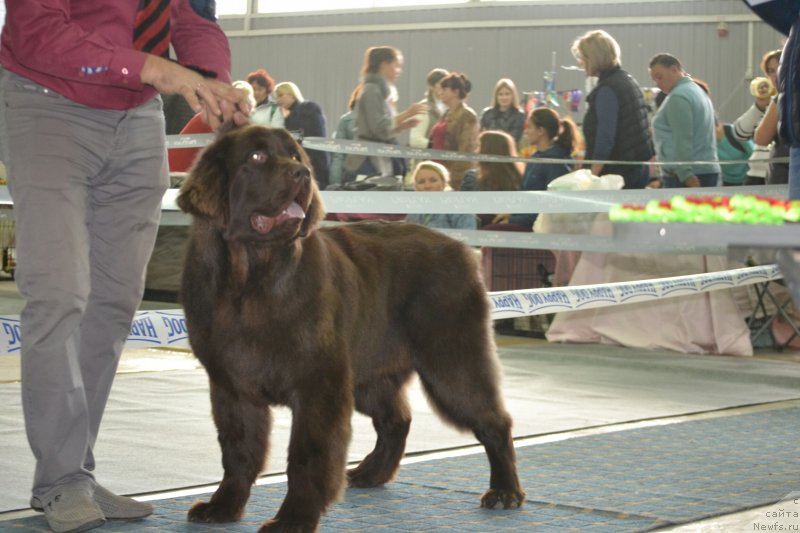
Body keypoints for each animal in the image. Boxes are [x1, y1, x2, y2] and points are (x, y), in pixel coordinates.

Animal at [176, 123, 524, 528]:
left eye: (294, 155)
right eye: (257, 157)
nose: (302, 174)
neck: (250, 281)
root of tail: (461, 249)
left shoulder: (319, 383)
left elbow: (307, 456)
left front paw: (294, 519)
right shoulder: (231, 386)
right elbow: (237, 451)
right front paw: (223, 507)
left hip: (451, 363)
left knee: (493, 421)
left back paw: (505, 491)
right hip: (368, 376)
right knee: (396, 420)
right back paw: (371, 473)